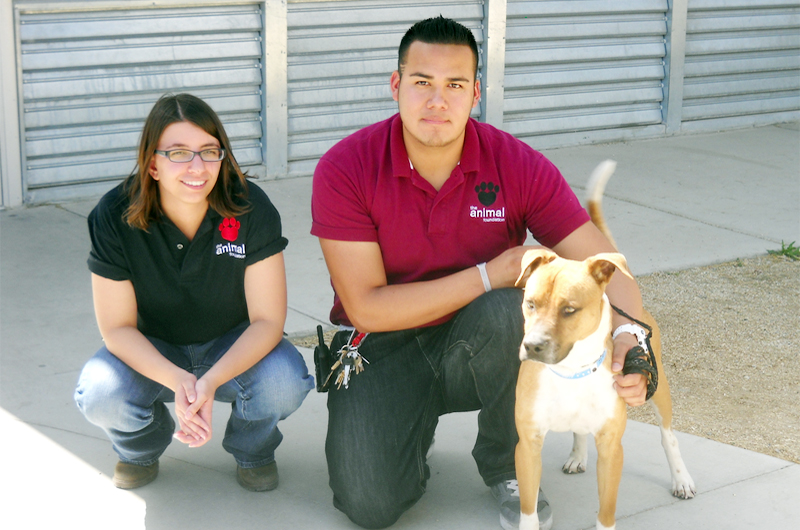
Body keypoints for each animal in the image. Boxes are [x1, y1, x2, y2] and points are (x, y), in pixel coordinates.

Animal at [512, 161, 692, 528]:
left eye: (569, 309)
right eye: (530, 303)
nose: (532, 346)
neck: (571, 371)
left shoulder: (611, 449)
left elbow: (606, 512)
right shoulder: (528, 446)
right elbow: (528, 510)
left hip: (660, 388)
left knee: (668, 436)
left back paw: (681, 478)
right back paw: (578, 454)